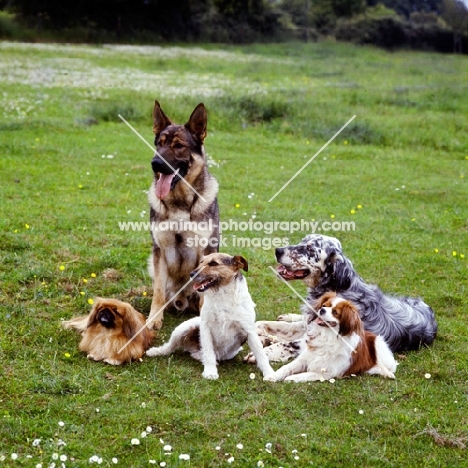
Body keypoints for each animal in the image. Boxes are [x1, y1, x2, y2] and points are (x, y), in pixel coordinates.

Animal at [146, 101, 219, 330]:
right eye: (159, 144)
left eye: (178, 145)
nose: (155, 163)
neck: (179, 202)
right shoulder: (159, 251)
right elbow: (158, 290)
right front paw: (153, 319)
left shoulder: (207, 248)